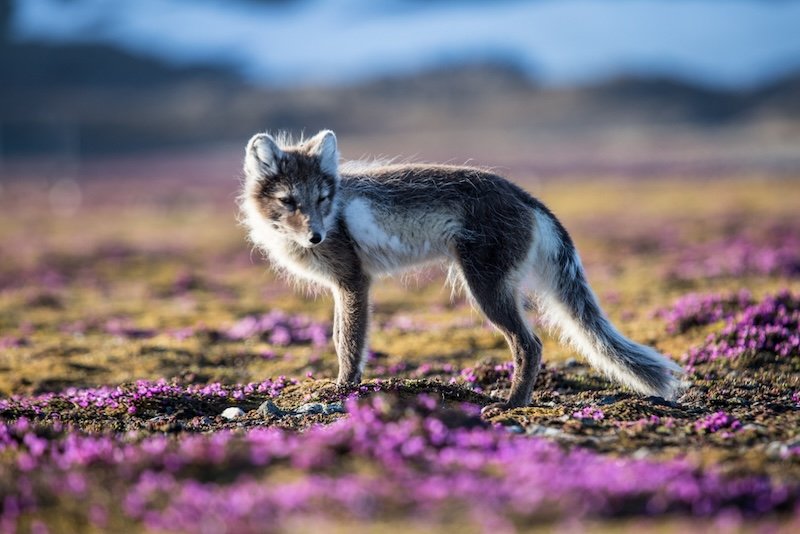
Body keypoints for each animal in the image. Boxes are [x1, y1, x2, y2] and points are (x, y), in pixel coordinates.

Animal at [238, 131, 680, 414]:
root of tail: (524, 195)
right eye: (289, 201)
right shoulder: (341, 288)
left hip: (485, 288)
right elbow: (335, 336)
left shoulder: (353, 282)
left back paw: (512, 405)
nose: (317, 236)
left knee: (531, 344)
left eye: (322, 198)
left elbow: (348, 342)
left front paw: (344, 387)